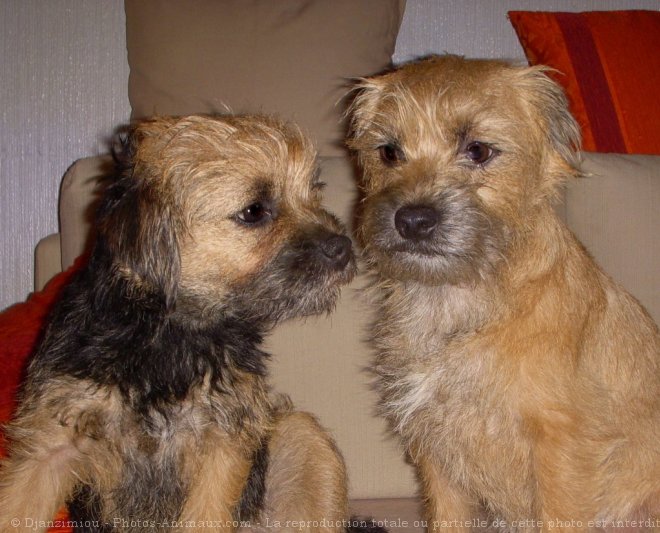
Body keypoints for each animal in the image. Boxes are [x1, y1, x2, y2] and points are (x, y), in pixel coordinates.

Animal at [0, 114, 382, 528]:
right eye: (254, 211)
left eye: (313, 194)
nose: (343, 247)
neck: (164, 333)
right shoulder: (50, 445)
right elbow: (17, 506)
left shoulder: (222, 441)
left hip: (301, 437)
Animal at [348, 56, 656, 528]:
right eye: (389, 152)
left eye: (478, 150)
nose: (412, 220)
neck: (458, 301)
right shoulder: (436, 449)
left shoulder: (562, 450)